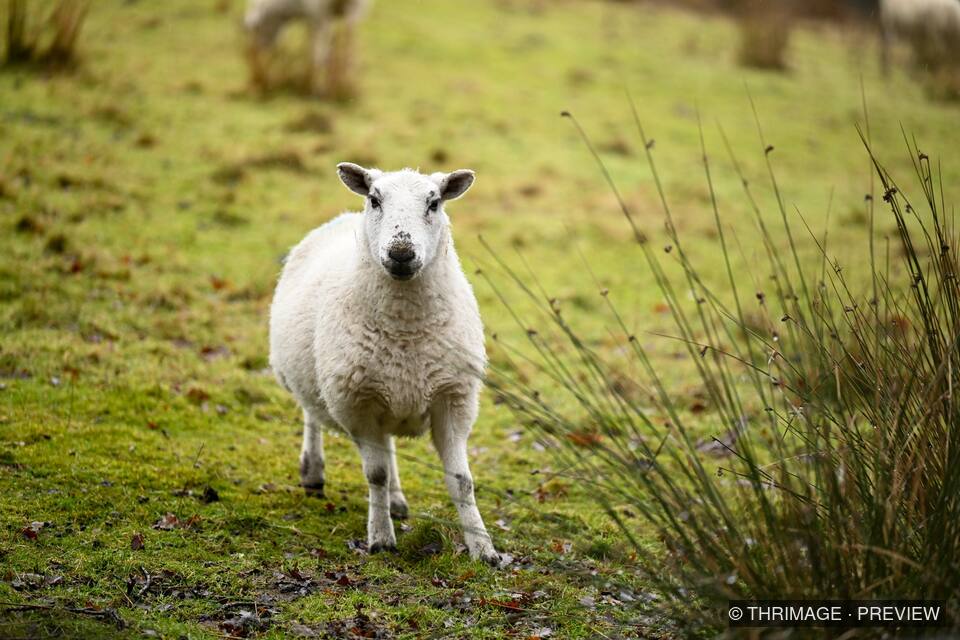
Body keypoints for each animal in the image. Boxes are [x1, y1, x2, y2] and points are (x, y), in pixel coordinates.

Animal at [268, 163, 500, 563]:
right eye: (375, 200)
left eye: (434, 203)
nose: (402, 252)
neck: (405, 332)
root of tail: (343, 217)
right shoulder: (357, 403)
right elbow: (375, 474)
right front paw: (380, 539)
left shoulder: (453, 398)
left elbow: (462, 481)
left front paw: (483, 548)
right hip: (317, 378)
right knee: (312, 414)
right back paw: (313, 472)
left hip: (388, 388)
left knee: (388, 446)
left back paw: (396, 501)